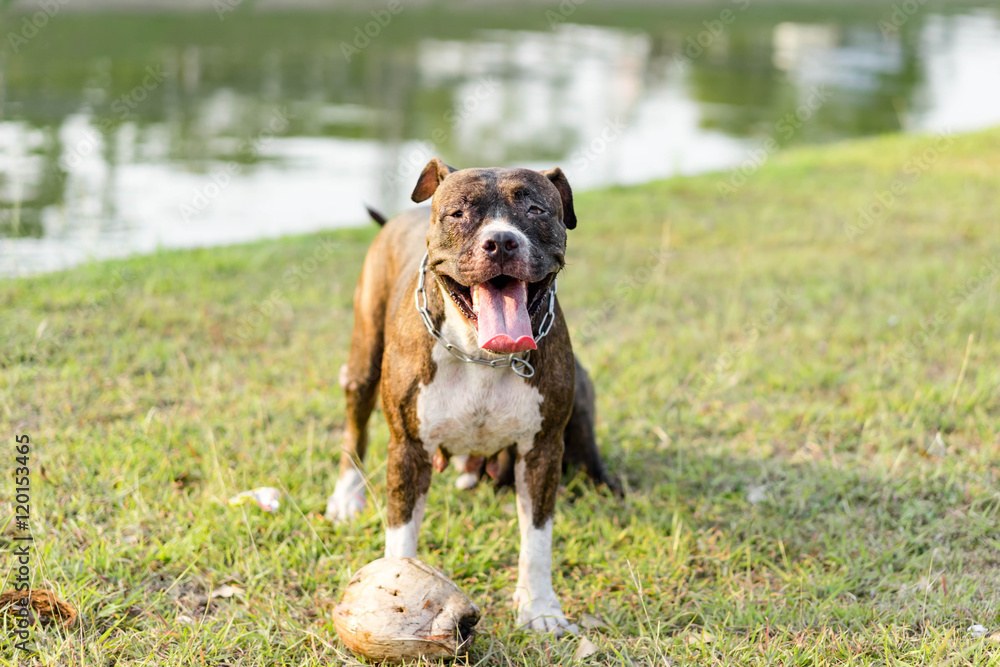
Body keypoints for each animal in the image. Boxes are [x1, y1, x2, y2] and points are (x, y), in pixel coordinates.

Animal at [332, 158, 616, 636]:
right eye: (458, 214)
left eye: (537, 210)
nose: (500, 241)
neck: (481, 355)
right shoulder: (408, 448)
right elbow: (401, 533)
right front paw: (394, 588)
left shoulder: (542, 451)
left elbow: (537, 540)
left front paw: (540, 608)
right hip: (364, 359)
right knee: (355, 428)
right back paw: (344, 496)